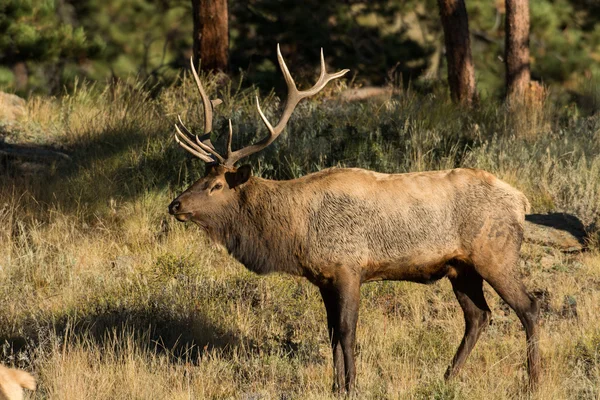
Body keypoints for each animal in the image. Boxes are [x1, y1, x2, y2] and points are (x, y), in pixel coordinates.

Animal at [166, 45, 540, 392]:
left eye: (216, 185)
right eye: (200, 177)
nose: (175, 204)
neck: (295, 232)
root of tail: (521, 201)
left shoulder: (348, 268)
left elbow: (347, 331)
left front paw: (352, 385)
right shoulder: (323, 278)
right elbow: (331, 332)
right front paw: (335, 385)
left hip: (496, 255)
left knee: (528, 307)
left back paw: (533, 381)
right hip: (460, 268)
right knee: (478, 316)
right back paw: (447, 377)